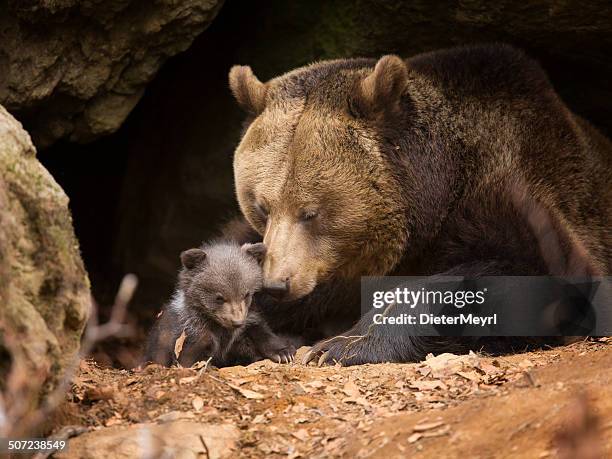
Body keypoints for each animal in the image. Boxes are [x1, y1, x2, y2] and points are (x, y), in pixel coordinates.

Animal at [226, 44, 612, 366]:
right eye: (261, 207)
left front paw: (341, 346)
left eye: (310, 212)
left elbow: (530, 274)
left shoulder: (516, 191)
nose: (277, 283)